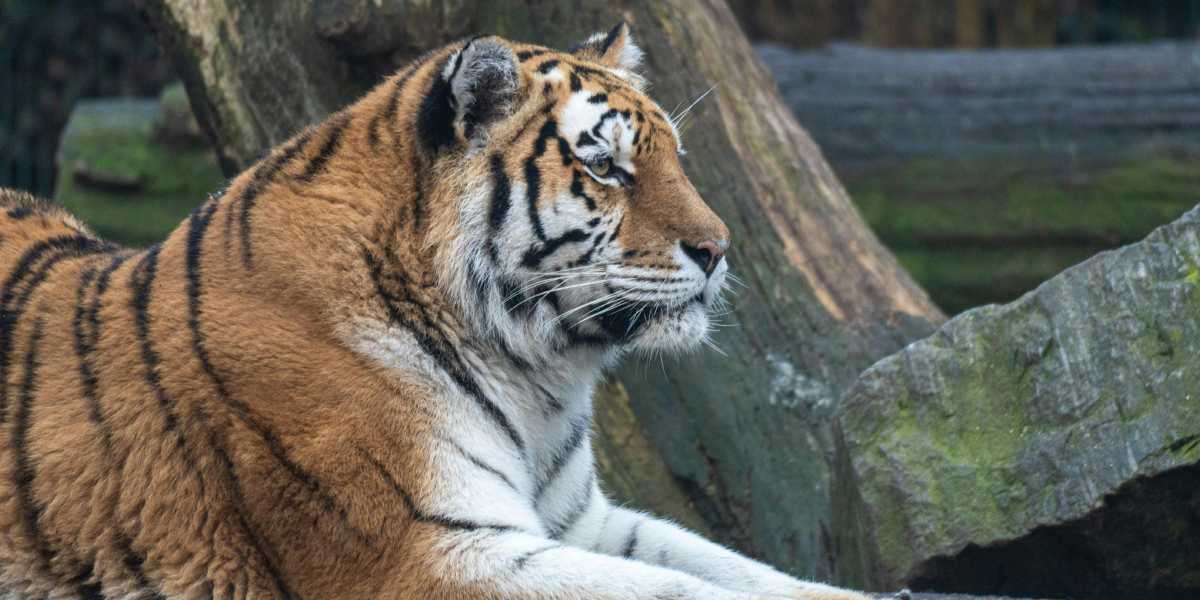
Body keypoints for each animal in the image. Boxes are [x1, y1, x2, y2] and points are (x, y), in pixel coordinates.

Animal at [0, 23, 876, 600]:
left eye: (675, 160)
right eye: (605, 166)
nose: (720, 248)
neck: (537, 377)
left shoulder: (579, 523)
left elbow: (747, 572)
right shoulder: (427, 552)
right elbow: (682, 591)